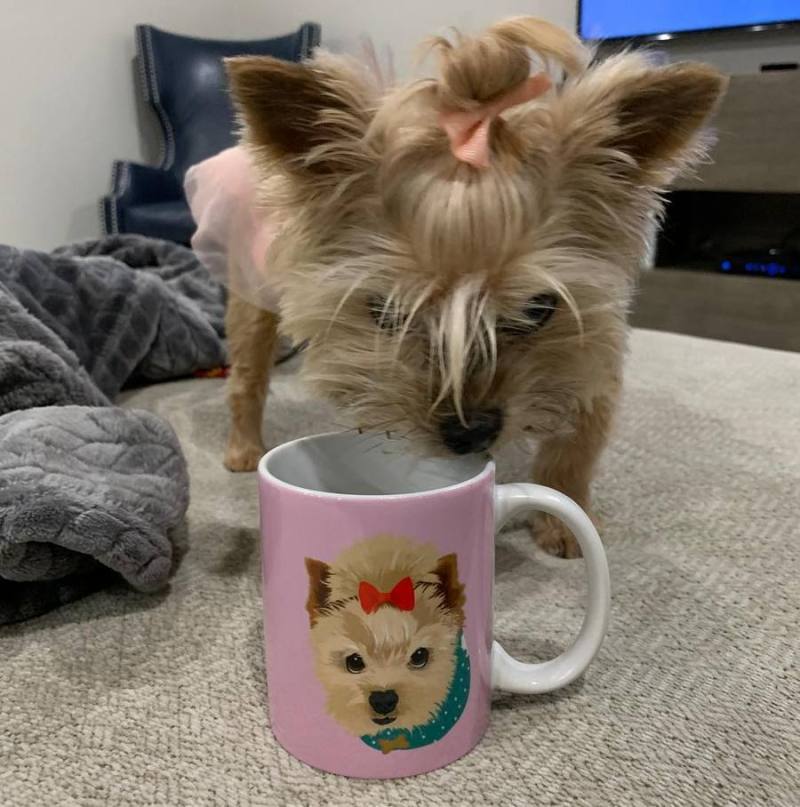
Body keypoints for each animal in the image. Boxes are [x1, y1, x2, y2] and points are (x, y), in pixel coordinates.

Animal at [221, 17, 727, 557]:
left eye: (538, 309)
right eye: (387, 314)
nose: (470, 433)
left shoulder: (593, 343)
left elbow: (581, 438)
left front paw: (566, 520)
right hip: (251, 288)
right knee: (248, 374)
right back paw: (243, 448)